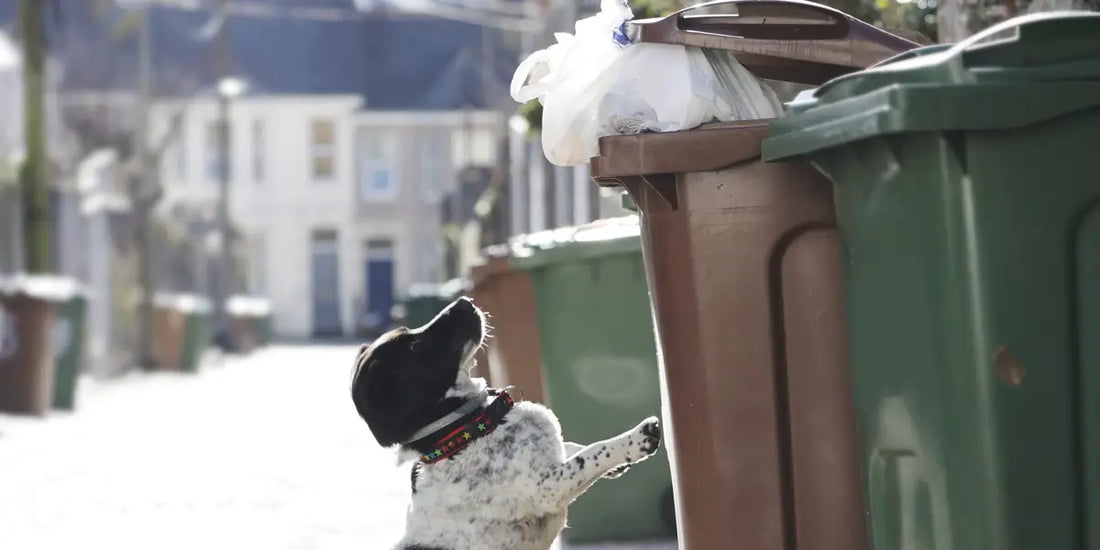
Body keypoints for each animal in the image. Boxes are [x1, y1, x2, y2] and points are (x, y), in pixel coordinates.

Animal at [352, 299, 660, 547]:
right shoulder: (548, 487)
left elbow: (571, 446)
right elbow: (593, 453)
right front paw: (635, 439)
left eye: (411, 333)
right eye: (415, 346)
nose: (462, 301)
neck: (465, 431)